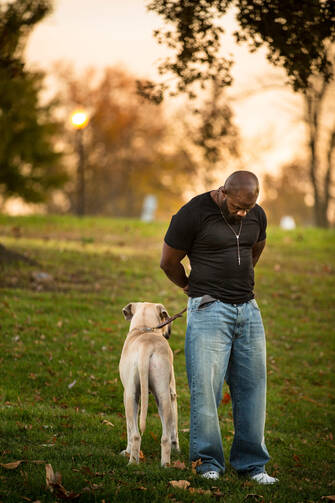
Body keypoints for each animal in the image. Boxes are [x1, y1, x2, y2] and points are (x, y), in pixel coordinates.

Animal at [119, 302, 180, 466]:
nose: (169, 333)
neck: (144, 328)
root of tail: (146, 346)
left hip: (134, 397)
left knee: (136, 434)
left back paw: (134, 462)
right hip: (162, 397)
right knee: (163, 437)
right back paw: (163, 464)